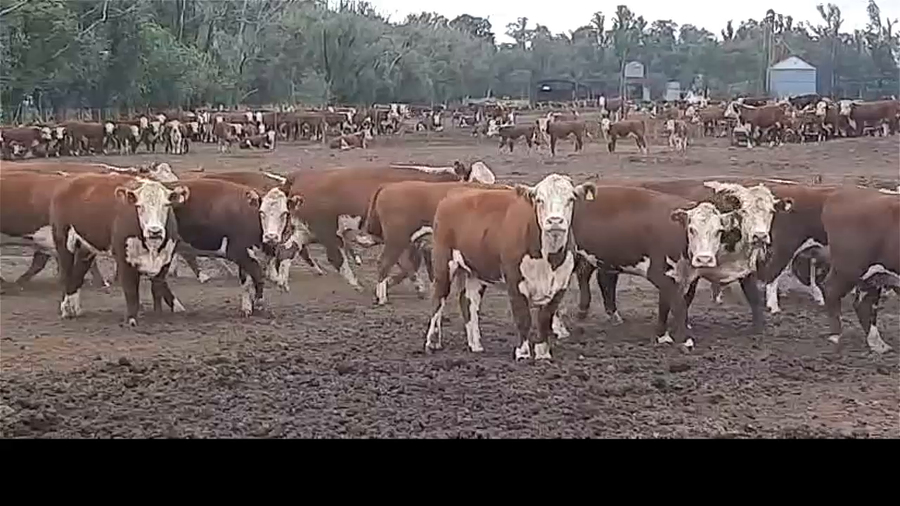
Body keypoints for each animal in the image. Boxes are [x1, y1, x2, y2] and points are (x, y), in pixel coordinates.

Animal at [49, 174, 190, 325]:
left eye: (166, 205)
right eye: (139, 206)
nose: (154, 231)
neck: (152, 248)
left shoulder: (165, 260)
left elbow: (157, 288)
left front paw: (158, 316)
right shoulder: (124, 259)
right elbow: (131, 291)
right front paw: (131, 319)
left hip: (86, 249)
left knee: (77, 275)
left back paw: (74, 309)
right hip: (63, 240)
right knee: (66, 274)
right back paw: (66, 310)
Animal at [424, 174, 597, 360]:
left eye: (571, 198)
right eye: (539, 200)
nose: (555, 221)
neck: (548, 259)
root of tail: (455, 192)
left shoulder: (560, 284)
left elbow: (544, 319)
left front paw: (543, 354)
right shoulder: (514, 279)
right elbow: (523, 317)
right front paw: (523, 353)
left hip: (475, 271)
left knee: (469, 302)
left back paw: (475, 345)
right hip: (443, 262)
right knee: (438, 299)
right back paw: (432, 342)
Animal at [820, 186, 898, 354]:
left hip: (874, 274)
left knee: (864, 304)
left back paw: (877, 344)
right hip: (850, 267)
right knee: (831, 289)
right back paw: (836, 336)